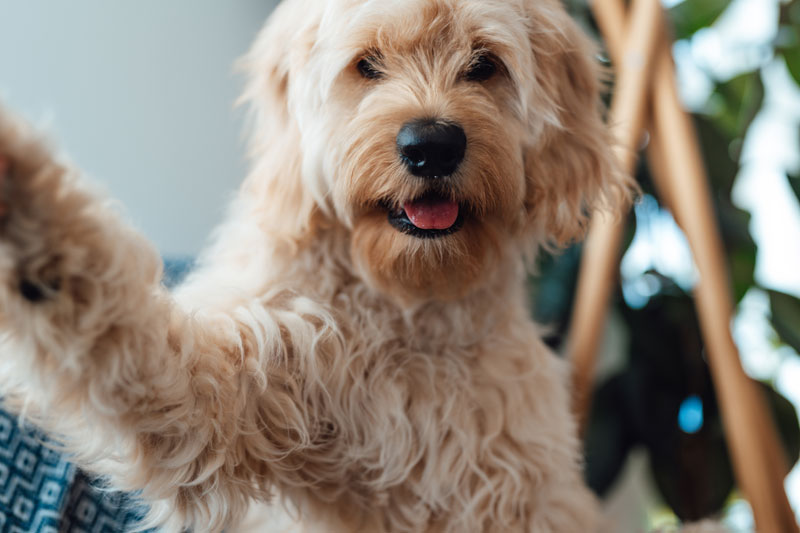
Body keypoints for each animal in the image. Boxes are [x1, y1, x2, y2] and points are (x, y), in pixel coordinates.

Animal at [0, 0, 644, 528]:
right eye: (368, 64)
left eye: (484, 64)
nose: (431, 146)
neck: (407, 304)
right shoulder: (227, 391)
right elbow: (134, 346)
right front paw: (28, 204)